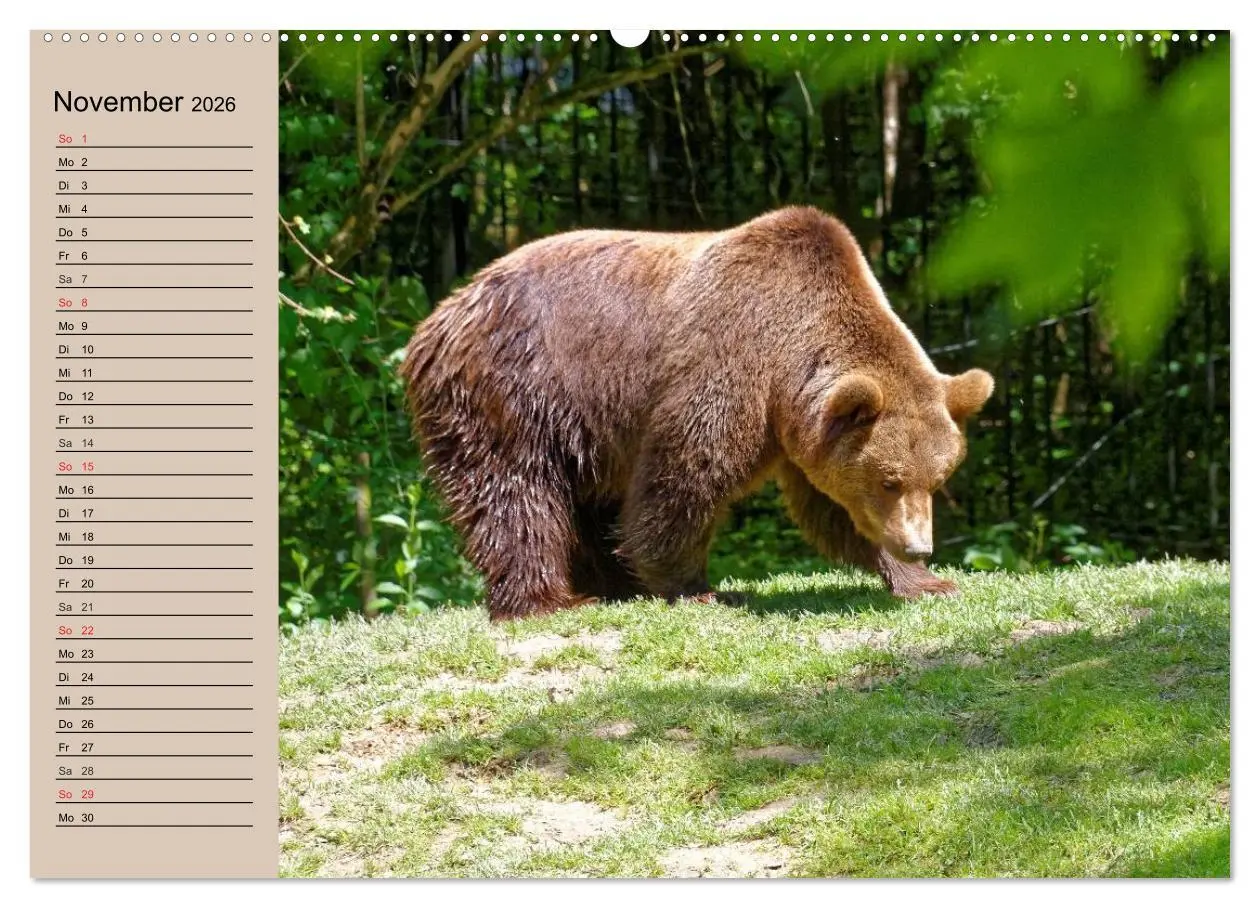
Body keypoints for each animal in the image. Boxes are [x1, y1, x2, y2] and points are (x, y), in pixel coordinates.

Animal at [402, 206, 994, 621]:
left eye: (936, 479)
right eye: (890, 480)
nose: (919, 544)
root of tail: (439, 317)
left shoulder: (806, 430)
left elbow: (832, 507)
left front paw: (925, 581)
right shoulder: (729, 362)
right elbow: (687, 473)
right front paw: (697, 588)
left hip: (585, 428)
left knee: (585, 500)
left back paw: (614, 586)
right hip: (516, 390)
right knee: (515, 493)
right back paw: (548, 600)